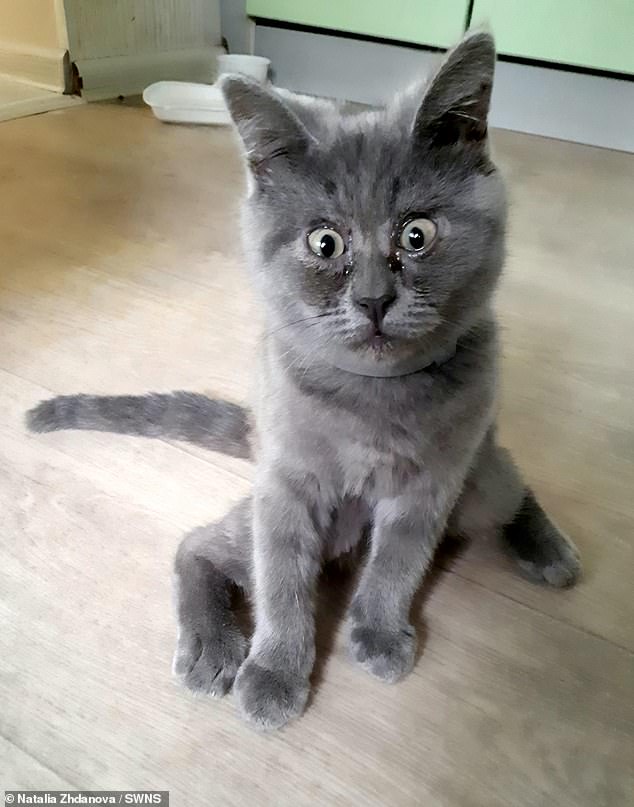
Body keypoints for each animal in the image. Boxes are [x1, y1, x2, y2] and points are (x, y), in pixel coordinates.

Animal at [28, 34, 576, 732]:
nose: (373, 299)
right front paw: (274, 673)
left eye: (416, 235)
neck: (374, 399)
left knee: (510, 484)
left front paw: (378, 632)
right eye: (324, 243)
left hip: (478, 478)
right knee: (199, 543)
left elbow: (397, 562)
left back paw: (549, 550)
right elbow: (282, 580)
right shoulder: (288, 485)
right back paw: (212, 647)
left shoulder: (432, 482)